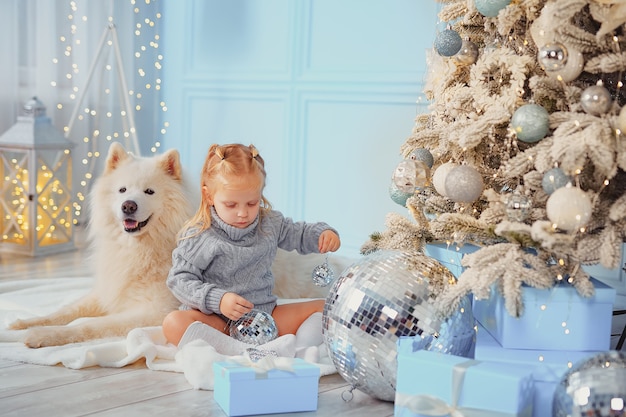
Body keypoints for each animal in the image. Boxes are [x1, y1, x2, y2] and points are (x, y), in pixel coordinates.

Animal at [8, 141, 191, 346]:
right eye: (122, 190)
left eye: (149, 192)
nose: (128, 206)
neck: (135, 248)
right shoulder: (106, 291)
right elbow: (66, 311)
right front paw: (25, 323)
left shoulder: (156, 312)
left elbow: (87, 325)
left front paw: (42, 335)